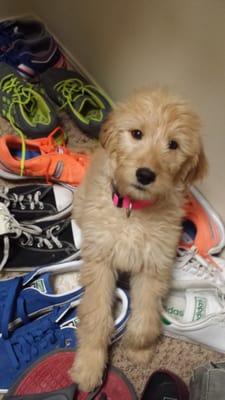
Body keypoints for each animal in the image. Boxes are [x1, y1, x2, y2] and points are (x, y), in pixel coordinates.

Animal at [70, 88, 207, 390]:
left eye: (173, 144)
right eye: (136, 133)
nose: (145, 175)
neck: (134, 210)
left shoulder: (153, 267)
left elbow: (146, 319)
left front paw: (138, 348)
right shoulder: (101, 263)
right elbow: (97, 316)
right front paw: (89, 366)